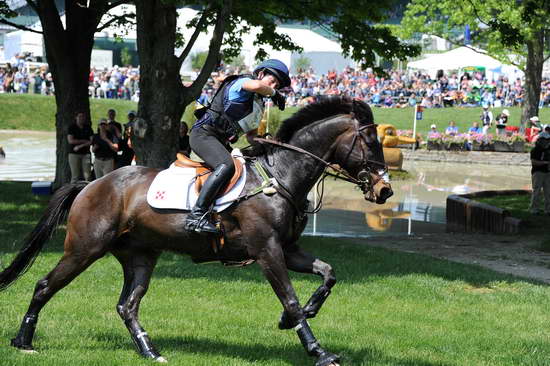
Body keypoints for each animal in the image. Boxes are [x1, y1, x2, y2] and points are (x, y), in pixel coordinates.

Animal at [2, 96, 394, 366]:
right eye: (370, 143)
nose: (385, 190)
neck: (281, 177)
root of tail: (92, 184)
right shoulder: (267, 250)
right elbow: (290, 297)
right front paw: (318, 351)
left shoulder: (288, 249)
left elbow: (328, 274)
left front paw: (299, 316)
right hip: (84, 248)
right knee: (45, 285)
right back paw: (23, 341)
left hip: (141, 255)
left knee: (128, 305)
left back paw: (150, 351)